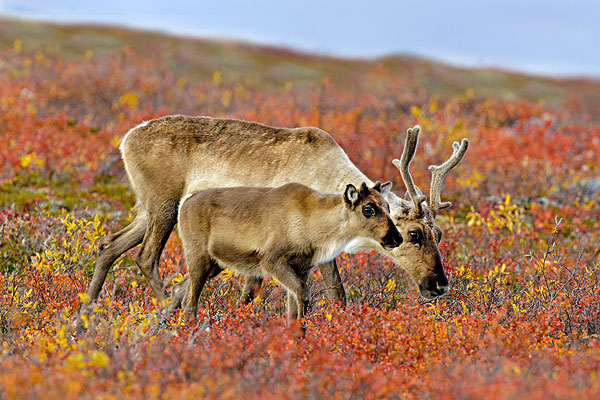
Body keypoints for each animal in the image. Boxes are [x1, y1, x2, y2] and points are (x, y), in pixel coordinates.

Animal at [178, 181, 404, 322]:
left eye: (387, 207)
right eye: (368, 209)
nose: (397, 238)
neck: (312, 225)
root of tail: (184, 202)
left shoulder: (302, 268)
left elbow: (294, 311)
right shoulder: (272, 260)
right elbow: (303, 296)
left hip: (214, 264)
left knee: (179, 290)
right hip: (198, 255)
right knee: (190, 305)